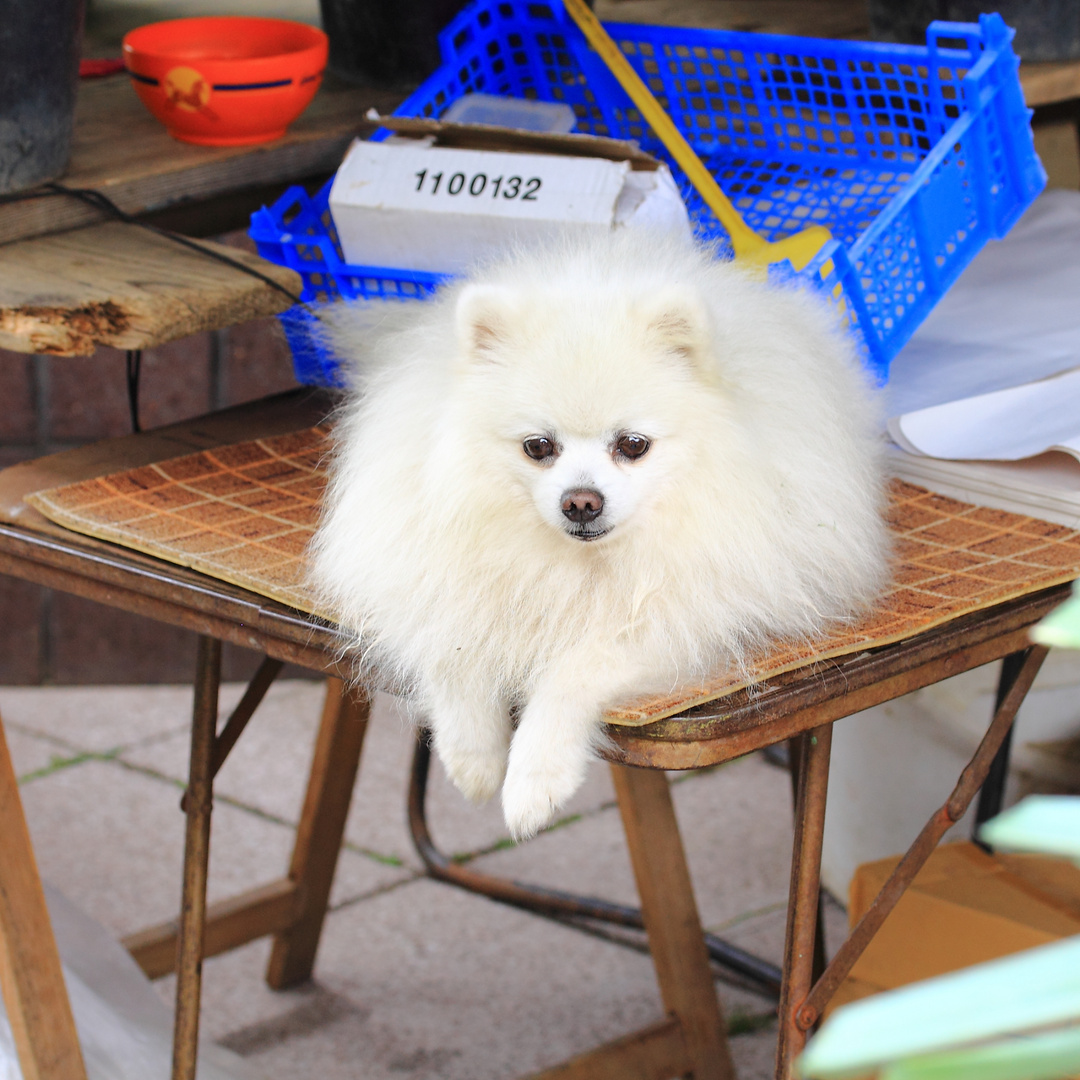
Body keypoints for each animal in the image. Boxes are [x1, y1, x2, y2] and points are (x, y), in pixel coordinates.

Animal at [311, 234, 885, 842]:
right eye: (538, 447)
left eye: (632, 445)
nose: (581, 501)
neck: (578, 562)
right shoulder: (438, 576)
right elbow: (454, 648)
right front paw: (473, 759)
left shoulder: (675, 617)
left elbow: (570, 675)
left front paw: (534, 780)